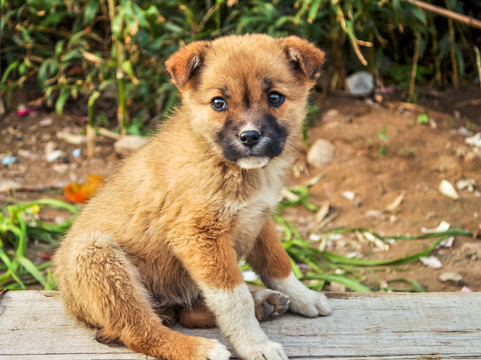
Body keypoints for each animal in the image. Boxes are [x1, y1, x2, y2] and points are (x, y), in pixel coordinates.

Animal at [53, 34, 330, 360]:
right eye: (218, 103)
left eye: (275, 98)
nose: (250, 137)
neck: (223, 163)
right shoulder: (200, 237)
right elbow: (234, 300)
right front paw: (255, 345)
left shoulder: (258, 219)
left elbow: (278, 264)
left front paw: (304, 297)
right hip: (98, 257)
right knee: (140, 330)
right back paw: (199, 348)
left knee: (188, 313)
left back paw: (263, 302)